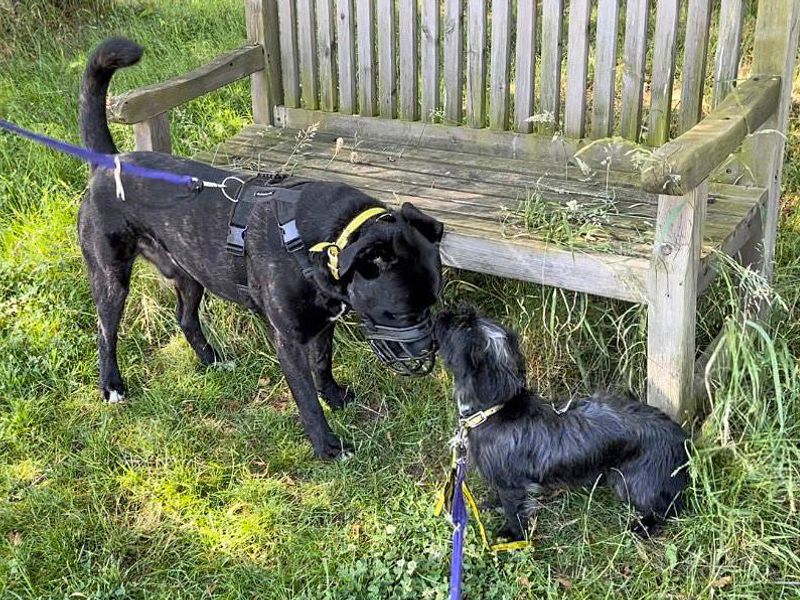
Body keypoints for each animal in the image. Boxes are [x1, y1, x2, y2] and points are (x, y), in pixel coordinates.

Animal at [79, 38, 444, 460]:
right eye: (400, 312)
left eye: (432, 303)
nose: (430, 351)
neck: (329, 242)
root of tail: (108, 162)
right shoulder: (288, 340)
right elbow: (305, 396)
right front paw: (328, 445)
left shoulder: (323, 324)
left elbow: (323, 366)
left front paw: (335, 396)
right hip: (110, 277)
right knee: (105, 333)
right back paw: (112, 385)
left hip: (190, 273)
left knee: (186, 318)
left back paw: (212, 361)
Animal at [434, 304, 692, 540]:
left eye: (464, 324)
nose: (440, 313)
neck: (497, 408)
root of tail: (681, 438)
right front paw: (491, 504)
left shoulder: (512, 485)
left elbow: (514, 511)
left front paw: (513, 536)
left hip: (632, 483)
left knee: (665, 509)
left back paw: (642, 527)